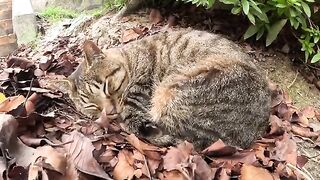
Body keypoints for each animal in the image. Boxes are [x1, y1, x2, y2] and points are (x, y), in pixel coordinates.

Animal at [57, 29, 270, 150]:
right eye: (91, 106)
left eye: (108, 87)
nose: (108, 112)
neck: (130, 57)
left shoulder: (138, 91)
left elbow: (130, 114)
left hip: (173, 90)